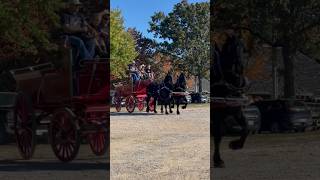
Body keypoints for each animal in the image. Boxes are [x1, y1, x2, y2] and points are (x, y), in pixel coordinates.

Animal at [211, 34, 249, 168]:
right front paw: (218, 160)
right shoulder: (216, 114)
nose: (240, 68)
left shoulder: (237, 111)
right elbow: (218, 136)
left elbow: (246, 127)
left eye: (244, 49)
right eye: (231, 48)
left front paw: (236, 145)